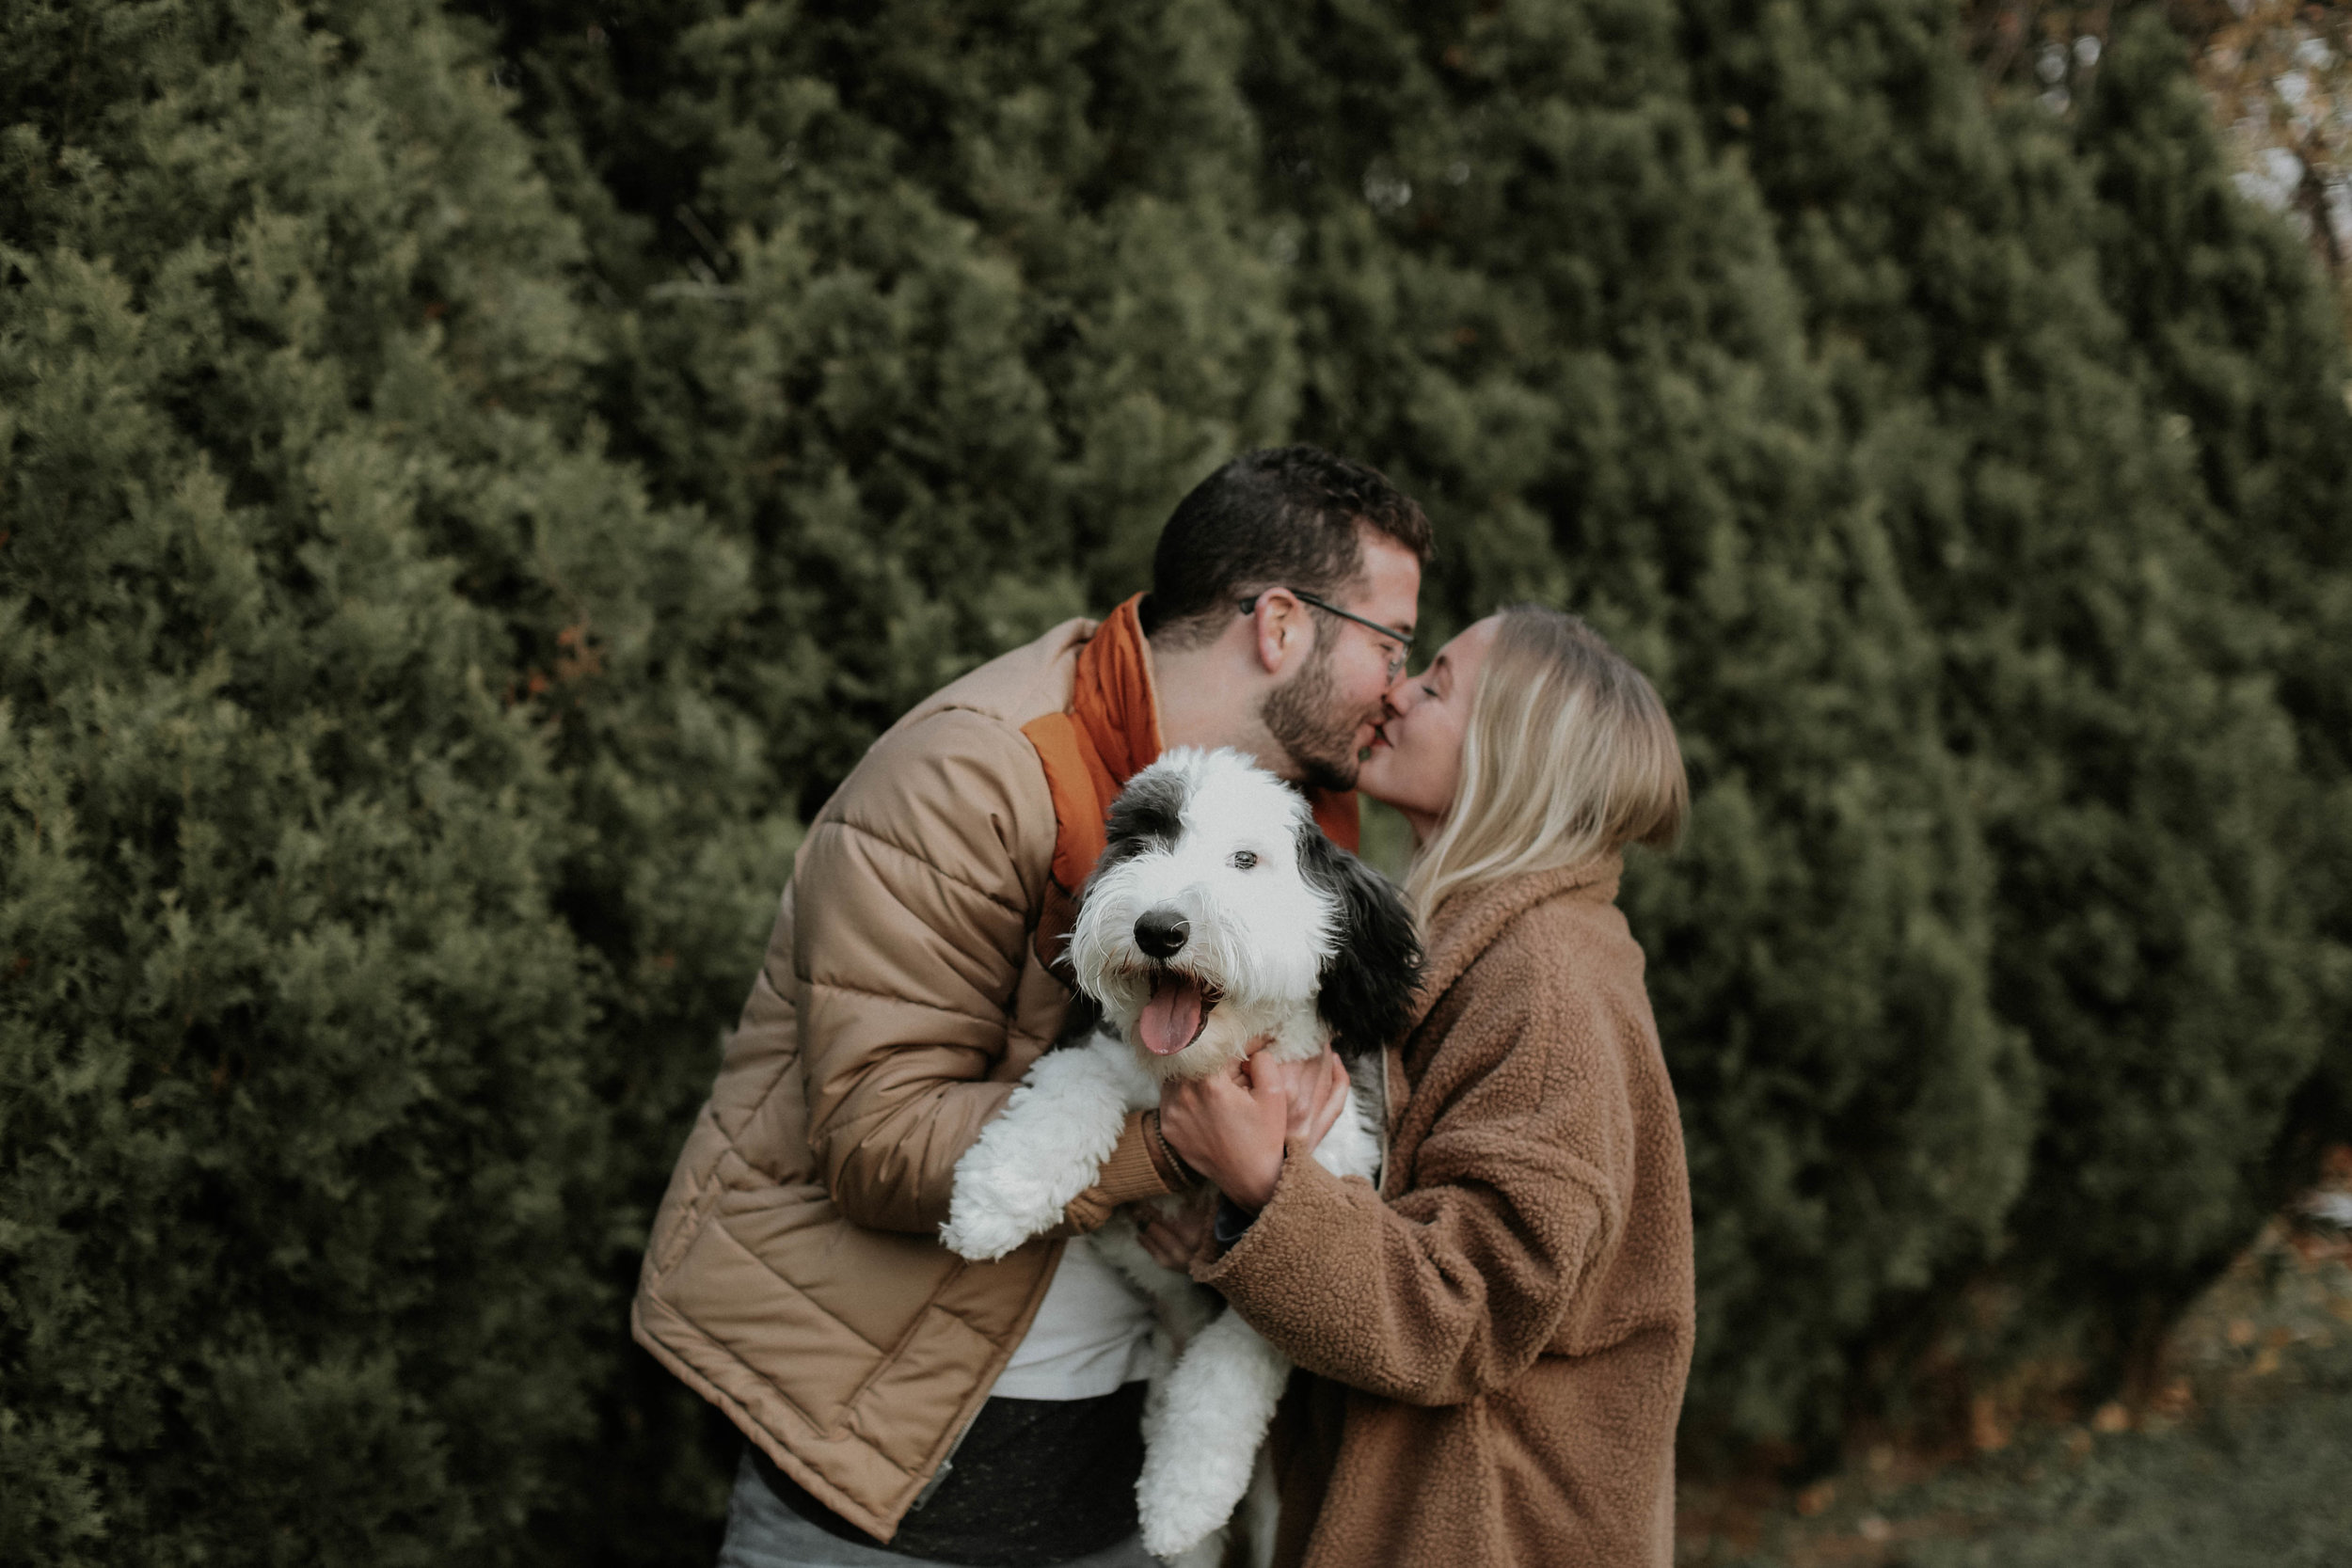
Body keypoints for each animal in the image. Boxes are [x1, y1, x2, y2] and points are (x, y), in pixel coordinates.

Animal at [931, 747, 1411, 1560]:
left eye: (1247, 859)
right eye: (1144, 840)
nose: (1159, 928)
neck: (1207, 1068)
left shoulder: (1302, 1238)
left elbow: (1230, 1370)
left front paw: (1183, 1493)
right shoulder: (1104, 1064)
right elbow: (1071, 1088)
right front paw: (997, 1195)